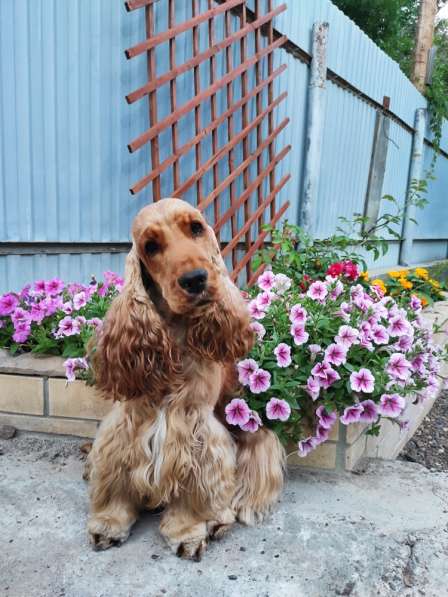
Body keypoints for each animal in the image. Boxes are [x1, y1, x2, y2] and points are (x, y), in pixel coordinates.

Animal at [86, 198, 286, 556]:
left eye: (195, 228)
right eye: (150, 246)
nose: (195, 279)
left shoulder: (196, 426)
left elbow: (197, 481)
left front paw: (187, 530)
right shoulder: (128, 420)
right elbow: (116, 473)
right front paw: (109, 521)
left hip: (252, 433)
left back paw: (219, 520)